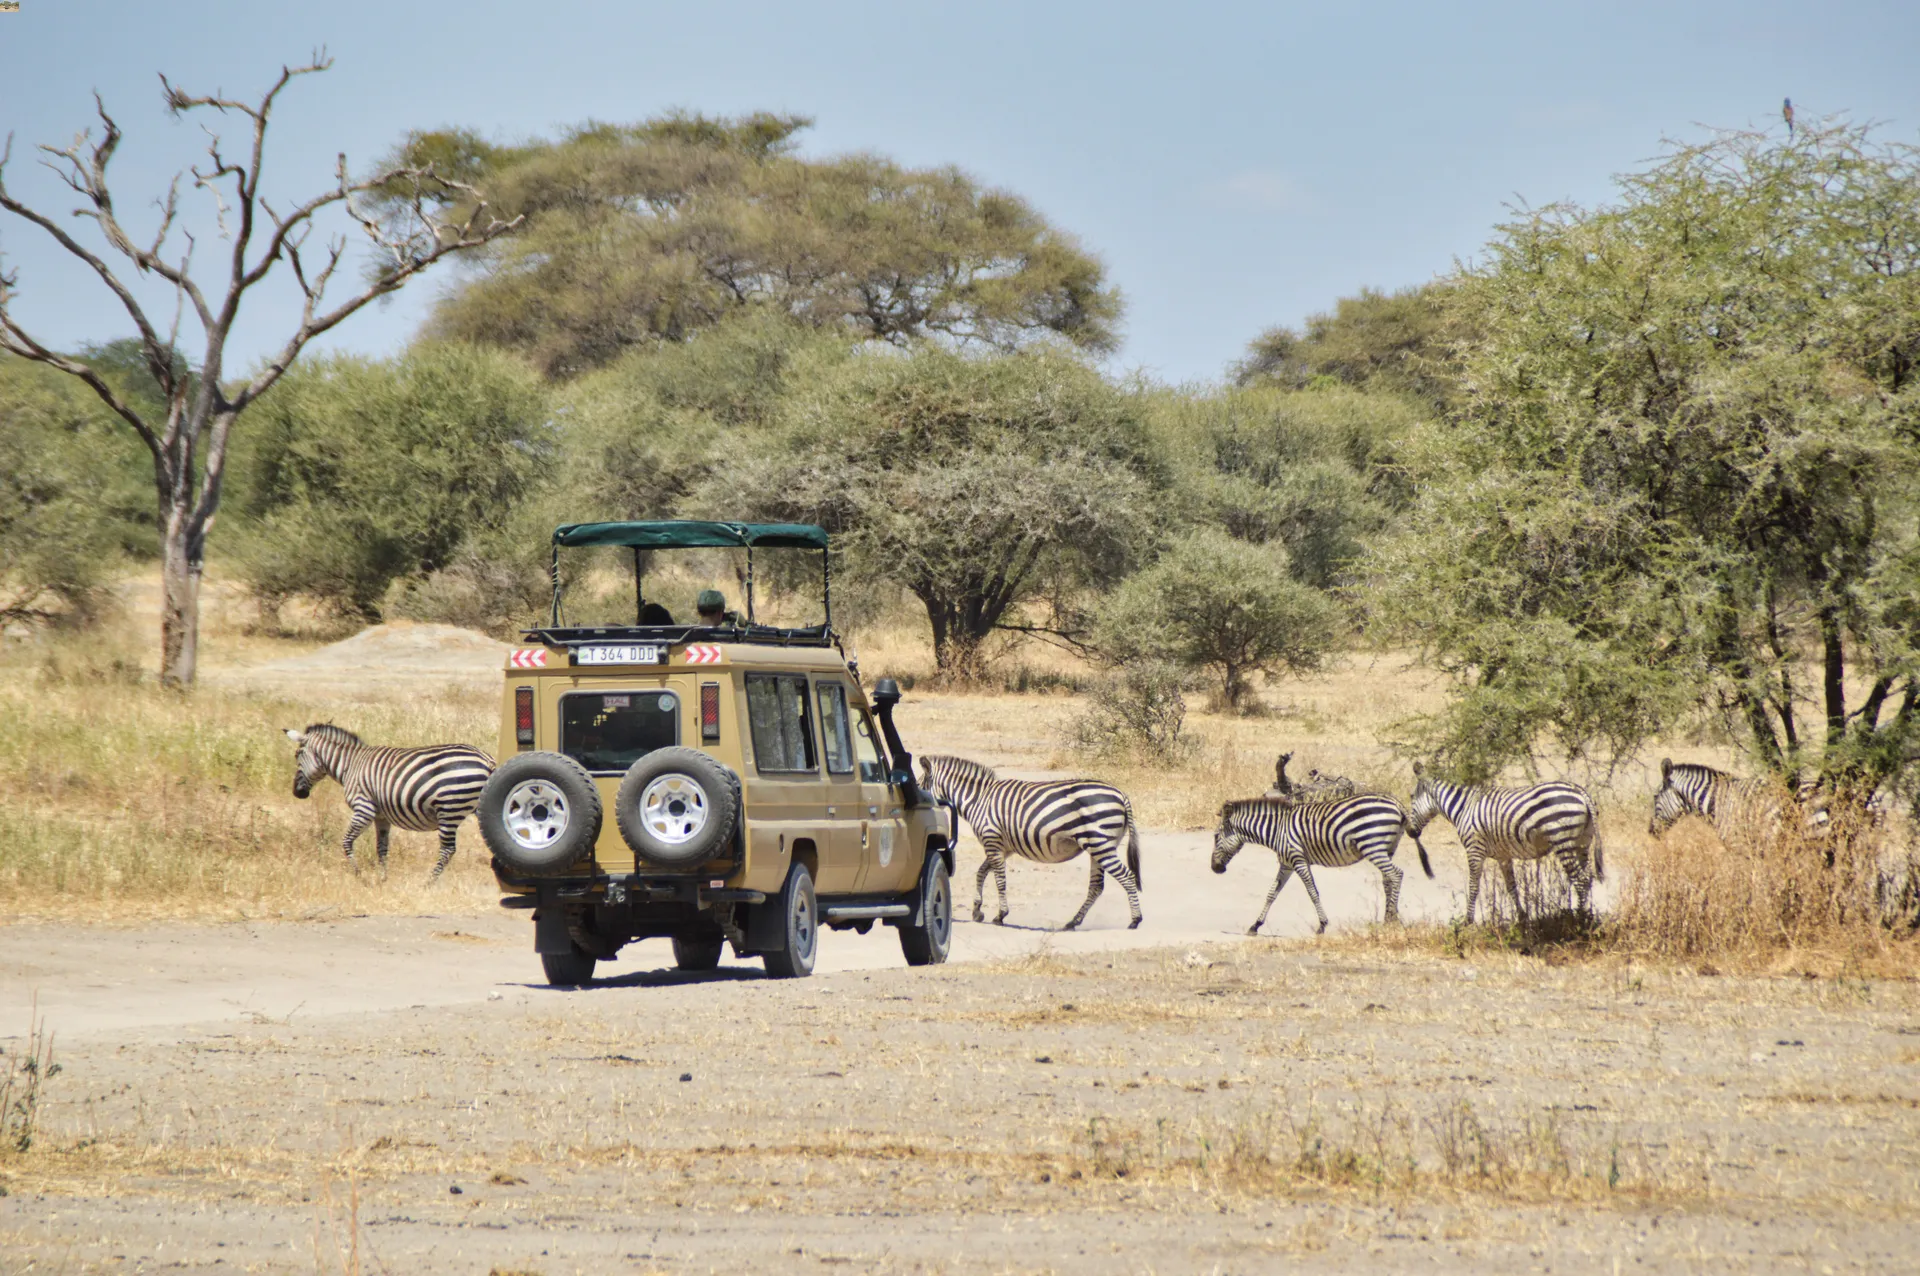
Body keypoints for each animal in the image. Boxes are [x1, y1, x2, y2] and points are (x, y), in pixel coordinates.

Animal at [286, 721, 499, 882]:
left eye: (297, 755)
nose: (297, 793)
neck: (351, 765)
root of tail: (486, 759)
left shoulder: (364, 809)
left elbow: (346, 842)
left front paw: (360, 876)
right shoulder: (381, 817)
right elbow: (381, 848)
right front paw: (382, 879)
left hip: (450, 808)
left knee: (448, 850)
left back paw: (428, 883)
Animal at [917, 752, 1136, 932]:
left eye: (917, 786)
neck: (979, 799)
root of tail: (1121, 794)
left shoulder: (992, 840)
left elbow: (999, 879)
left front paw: (1000, 915)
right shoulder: (1002, 847)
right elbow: (981, 872)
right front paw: (978, 910)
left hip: (1100, 844)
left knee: (1127, 876)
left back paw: (1135, 920)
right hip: (1098, 846)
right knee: (1097, 886)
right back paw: (1073, 922)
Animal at [1205, 798, 1436, 936]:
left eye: (1216, 837)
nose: (1215, 868)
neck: (1277, 830)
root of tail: (1396, 803)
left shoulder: (1298, 859)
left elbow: (1312, 891)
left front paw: (1322, 925)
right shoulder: (1286, 864)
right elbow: (1272, 894)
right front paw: (1255, 925)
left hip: (1372, 845)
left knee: (1396, 874)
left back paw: (1391, 920)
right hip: (1387, 848)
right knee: (1388, 879)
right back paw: (1390, 918)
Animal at [1413, 759, 1605, 921]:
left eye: (1410, 798)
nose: (1410, 832)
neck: (1463, 808)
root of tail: (1580, 791)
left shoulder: (1474, 849)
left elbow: (1473, 887)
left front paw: (1468, 922)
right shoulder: (1503, 855)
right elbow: (1511, 886)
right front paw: (1522, 918)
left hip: (1563, 841)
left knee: (1580, 880)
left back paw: (1578, 919)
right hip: (1583, 842)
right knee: (1588, 877)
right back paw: (1589, 917)